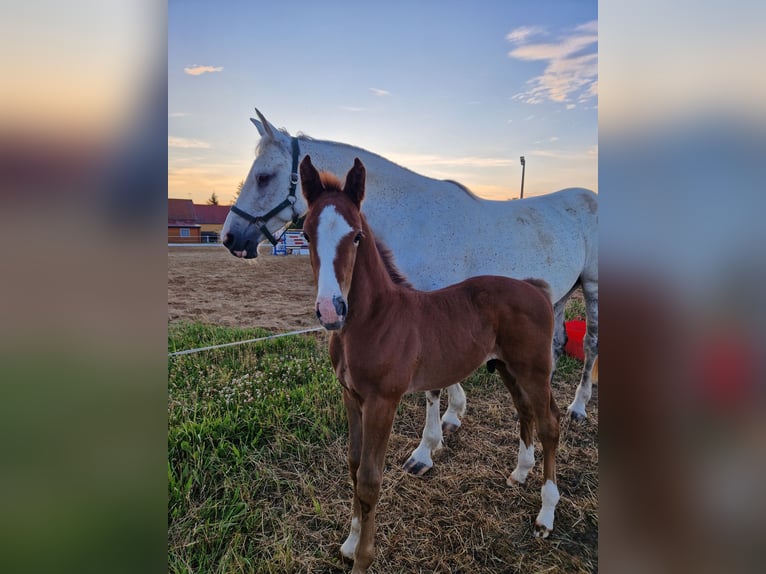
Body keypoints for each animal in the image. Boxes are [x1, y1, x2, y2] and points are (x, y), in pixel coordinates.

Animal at [302, 155, 564, 572]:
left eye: (357, 236)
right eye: (307, 234)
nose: (330, 309)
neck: (375, 319)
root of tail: (534, 287)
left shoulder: (382, 402)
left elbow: (370, 479)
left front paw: (363, 557)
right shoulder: (351, 397)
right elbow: (353, 465)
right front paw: (350, 542)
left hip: (535, 370)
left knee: (550, 424)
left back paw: (546, 516)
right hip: (508, 368)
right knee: (525, 412)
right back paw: (519, 473)